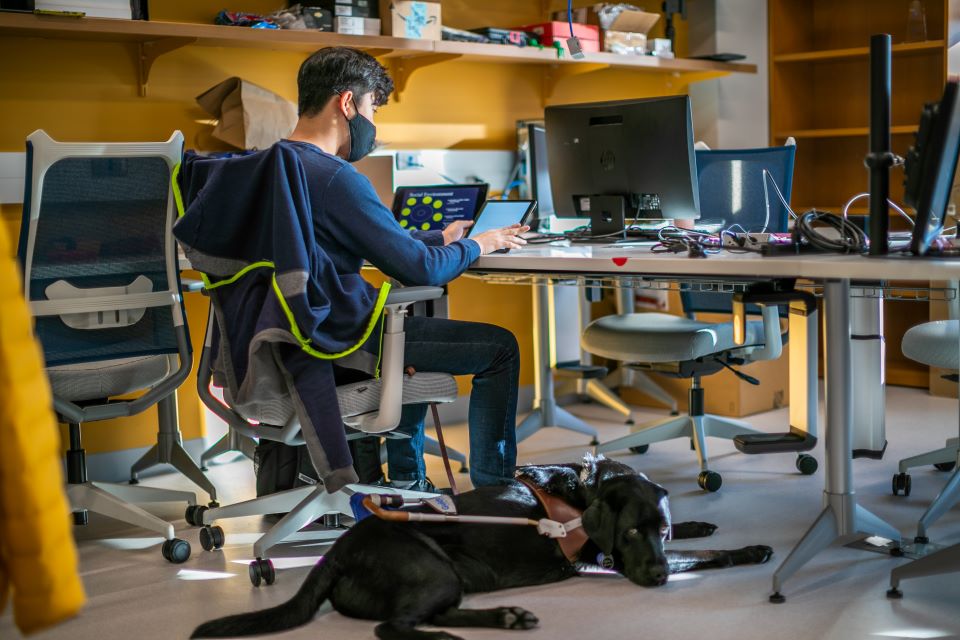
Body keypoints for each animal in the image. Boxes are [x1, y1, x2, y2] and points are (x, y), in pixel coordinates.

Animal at [195, 458, 772, 636]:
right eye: (629, 534)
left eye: (661, 529)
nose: (657, 579)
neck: (585, 491)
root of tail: (336, 549)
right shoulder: (605, 560)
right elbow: (706, 559)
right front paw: (749, 551)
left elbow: (695, 540)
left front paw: (701, 524)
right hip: (430, 568)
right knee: (394, 626)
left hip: (452, 578)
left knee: (433, 614)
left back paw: (508, 618)